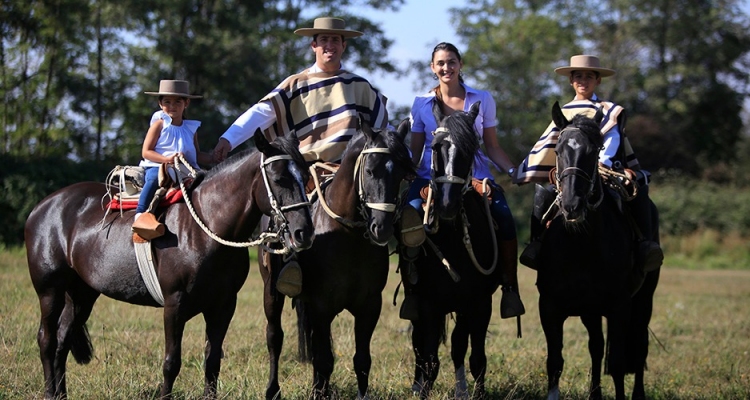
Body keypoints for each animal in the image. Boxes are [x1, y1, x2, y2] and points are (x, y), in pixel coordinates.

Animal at [25, 133, 314, 398]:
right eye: (279, 178)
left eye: (305, 175)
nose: (304, 232)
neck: (205, 229)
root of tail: (42, 207)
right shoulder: (174, 305)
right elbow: (171, 363)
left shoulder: (223, 306)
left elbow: (212, 361)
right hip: (49, 291)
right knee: (47, 340)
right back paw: (50, 391)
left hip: (81, 294)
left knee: (62, 341)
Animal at [258, 119, 412, 400]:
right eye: (370, 171)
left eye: (401, 175)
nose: (382, 228)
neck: (347, 236)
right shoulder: (321, 306)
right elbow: (324, 359)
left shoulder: (369, 306)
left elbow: (361, 360)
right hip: (271, 292)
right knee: (275, 337)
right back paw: (273, 389)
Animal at [400, 101, 512, 398]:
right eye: (436, 147)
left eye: (471, 148)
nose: (447, 205)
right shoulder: (428, 304)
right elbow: (429, 357)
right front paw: (422, 390)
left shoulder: (478, 303)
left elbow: (472, 354)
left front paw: (472, 392)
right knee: (419, 344)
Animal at [540, 102, 656, 400]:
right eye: (558, 150)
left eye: (593, 151)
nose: (571, 205)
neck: (581, 246)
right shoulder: (549, 306)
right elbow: (555, 361)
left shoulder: (619, 306)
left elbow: (616, 363)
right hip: (590, 311)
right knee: (596, 345)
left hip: (644, 299)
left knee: (639, 346)